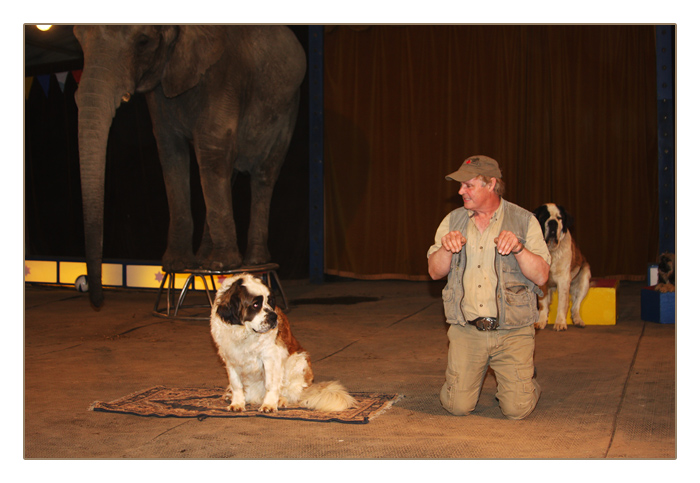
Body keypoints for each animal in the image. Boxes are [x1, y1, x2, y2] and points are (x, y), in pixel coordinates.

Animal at [72, 25, 308, 306]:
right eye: (79, 40)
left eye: (143, 41)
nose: (95, 297)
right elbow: (170, 150)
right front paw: (177, 264)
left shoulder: (223, 73)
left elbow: (212, 145)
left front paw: (224, 264)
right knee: (227, 170)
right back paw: (206, 260)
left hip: (288, 106)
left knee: (262, 174)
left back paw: (253, 260)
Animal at [209, 274, 356, 414]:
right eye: (255, 305)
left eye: (270, 301)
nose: (273, 316)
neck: (244, 333)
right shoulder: (230, 359)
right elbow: (236, 384)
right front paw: (237, 403)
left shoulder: (271, 356)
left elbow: (271, 384)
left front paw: (269, 405)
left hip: (298, 360)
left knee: (291, 391)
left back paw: (280, 400)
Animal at [532, 204, 592, 332]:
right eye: (544, 217)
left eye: (559, 218)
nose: (553, 222)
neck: (550, 250)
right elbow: (543, 303)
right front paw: (541, 321)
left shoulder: (563, 280)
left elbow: (562, 303)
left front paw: (560, 322)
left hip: (584, 277)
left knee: (576, 304)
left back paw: (578, 320)